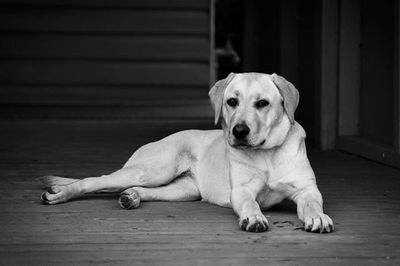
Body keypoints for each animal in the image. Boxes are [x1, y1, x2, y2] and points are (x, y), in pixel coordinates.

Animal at [39, 72, 334, 233]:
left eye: (262, 103)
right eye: (231, 102)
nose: (238, 131)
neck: (267, 154)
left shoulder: (307, 190)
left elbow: (312, 203)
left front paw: (318, 217)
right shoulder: (242, 192)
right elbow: (251, 203)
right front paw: (254, 217)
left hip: (182, 190)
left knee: (140, 189)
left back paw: (131, 197)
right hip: (155, 170)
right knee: (93, 181)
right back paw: (60, 194)